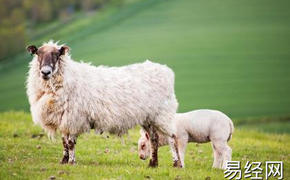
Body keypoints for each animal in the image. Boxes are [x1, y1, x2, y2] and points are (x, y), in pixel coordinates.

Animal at [26, 40, 182, 167]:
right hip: (149, 117)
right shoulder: (63, 118)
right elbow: (64, 142)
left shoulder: (74, 118)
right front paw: (63, 161)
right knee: (154, 139)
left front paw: (71, 162)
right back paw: (153, 164)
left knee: (172, 138)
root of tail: (166, 70)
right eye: (38, 53)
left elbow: (70, 143)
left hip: (163, 113)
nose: (45, 72)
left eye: (57, 54)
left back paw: (176, 163)